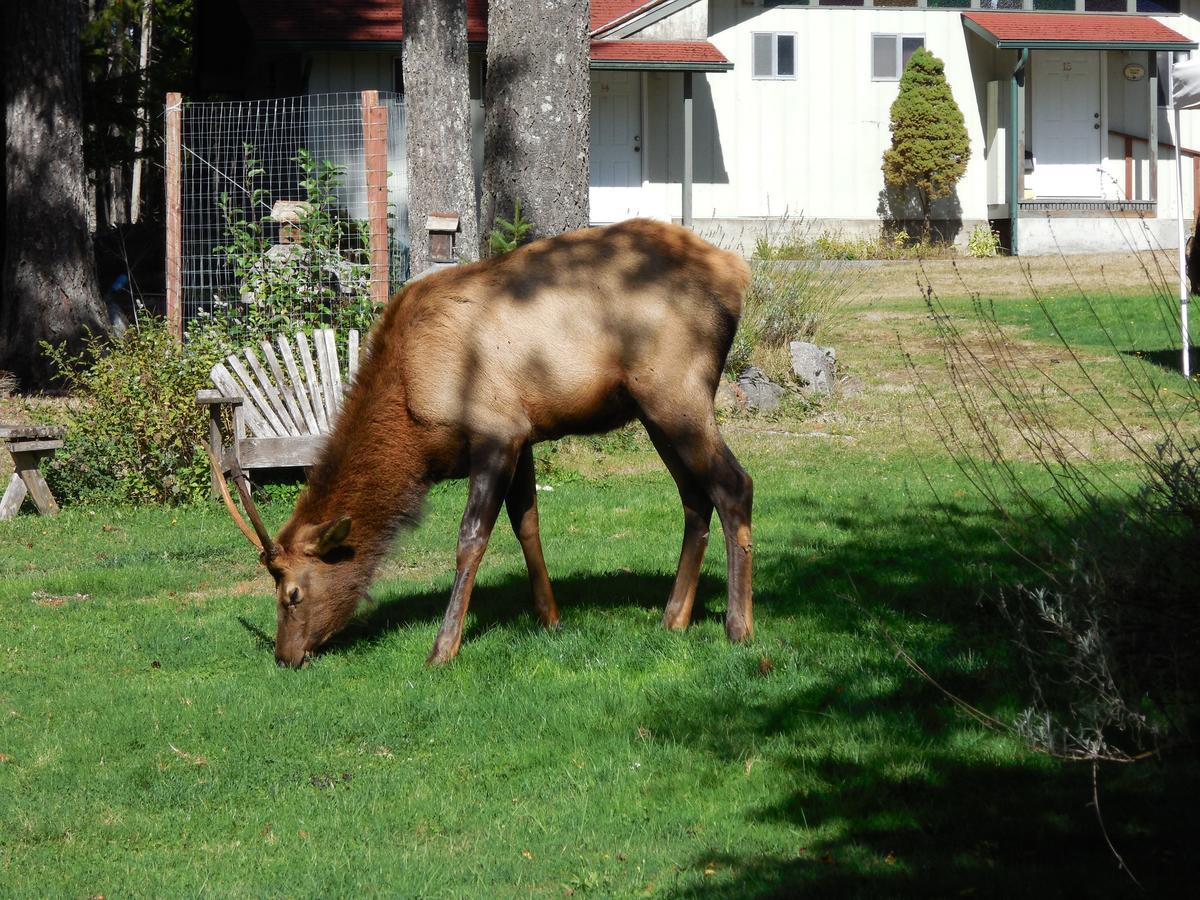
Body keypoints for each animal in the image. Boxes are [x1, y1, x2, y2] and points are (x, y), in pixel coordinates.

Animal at [206, 218, 748, 672]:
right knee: (694, 498)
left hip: (675, 390)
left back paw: (738, 626)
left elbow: (471, 539)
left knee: (734, 485)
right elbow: (528, 524)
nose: (284, 657)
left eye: (292, 594)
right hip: (653, 409)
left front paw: (443, 648)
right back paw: (674, 617)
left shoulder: (495, 430)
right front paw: (549, 617)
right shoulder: (523, 433)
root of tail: (738, 275)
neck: (412, 420)